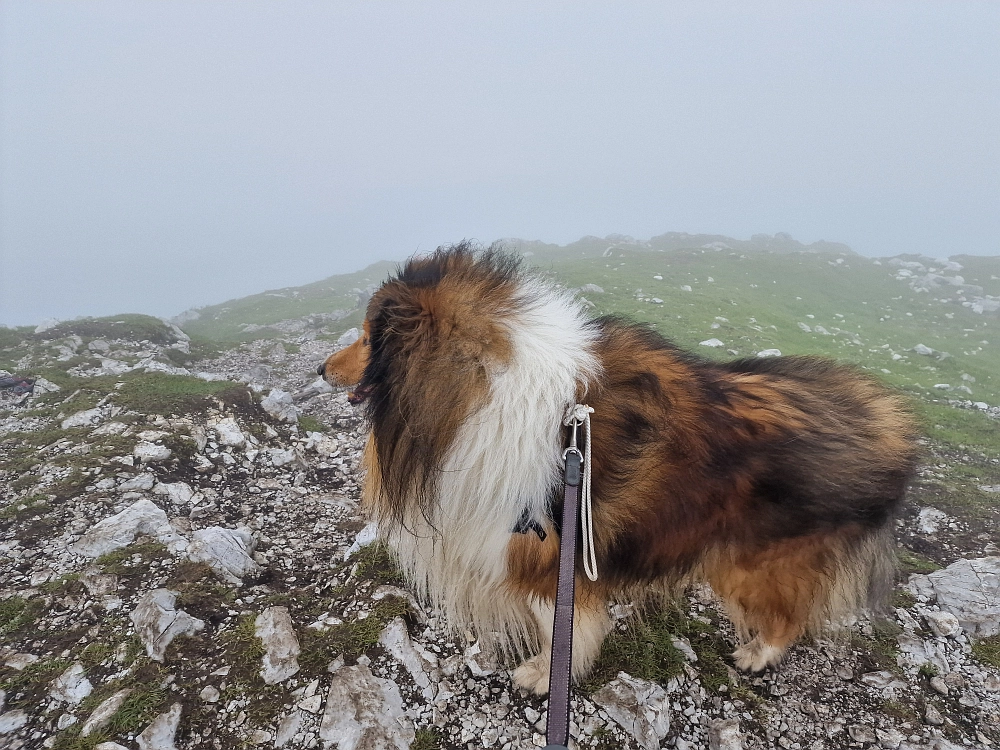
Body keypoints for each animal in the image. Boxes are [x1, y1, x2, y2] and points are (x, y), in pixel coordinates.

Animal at [320, 244, 920, 696]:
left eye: (368, 336)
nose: (322, 368)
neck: (479, 387)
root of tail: (887, 425)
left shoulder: (544, 555)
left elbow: (559, 629)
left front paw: (546, 675)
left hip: (756, 561)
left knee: (789, 617)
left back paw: (756, 653)